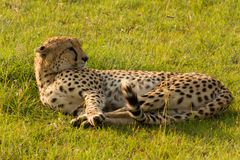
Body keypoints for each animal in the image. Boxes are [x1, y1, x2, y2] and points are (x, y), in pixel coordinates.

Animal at [34, 36, 233, 127]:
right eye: (70, 48)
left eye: (79, 45)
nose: (85, 58)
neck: (48, 77)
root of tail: (222, 85)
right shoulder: (76, 105)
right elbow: (88, 108)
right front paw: (91, 116)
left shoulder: (94, 91)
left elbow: (93, 105)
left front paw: (93, 115)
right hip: (173, 110)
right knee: (134, 118)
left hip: (162, 91)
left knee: (126, 110)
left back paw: (89, 120)